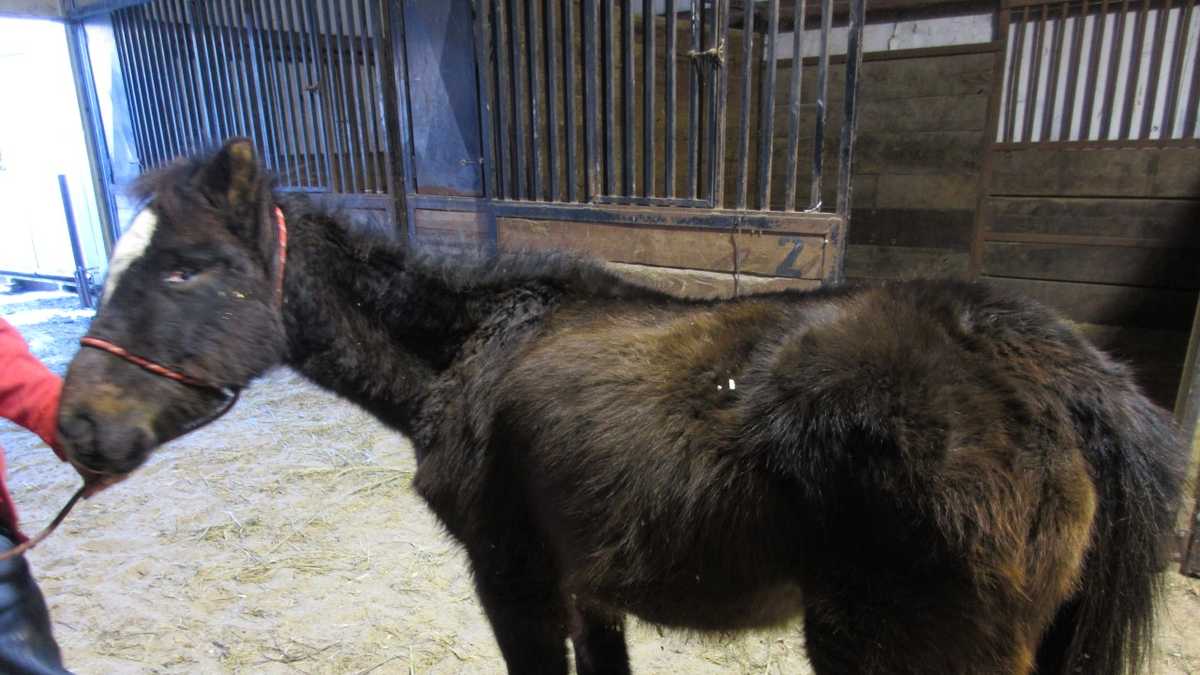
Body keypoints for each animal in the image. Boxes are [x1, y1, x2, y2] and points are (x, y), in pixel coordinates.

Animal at [56, 139, 1186, 675]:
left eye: (190, 267)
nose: (76, 426)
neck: (472, 347)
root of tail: (1053, 366)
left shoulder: (513, 585)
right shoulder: (589, 588)